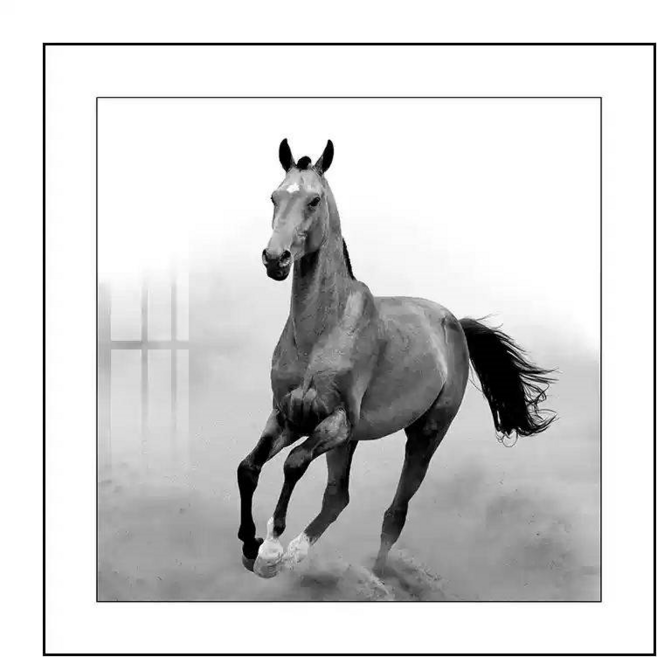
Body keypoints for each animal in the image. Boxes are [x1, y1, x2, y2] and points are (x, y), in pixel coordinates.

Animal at [237, 139, 556, 580]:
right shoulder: (287, 415)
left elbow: (293, 464)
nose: (275, 259)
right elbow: (248, 468)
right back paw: (300, 554)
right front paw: (250, 546)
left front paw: (269, 550)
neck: (320, 334)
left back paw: (375, 575)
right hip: (351, 440)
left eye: (314, 200)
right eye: (275, 196)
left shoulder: (334, 422)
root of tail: (454, 323)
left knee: (395, 513)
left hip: (424, 434)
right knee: (337, 497)